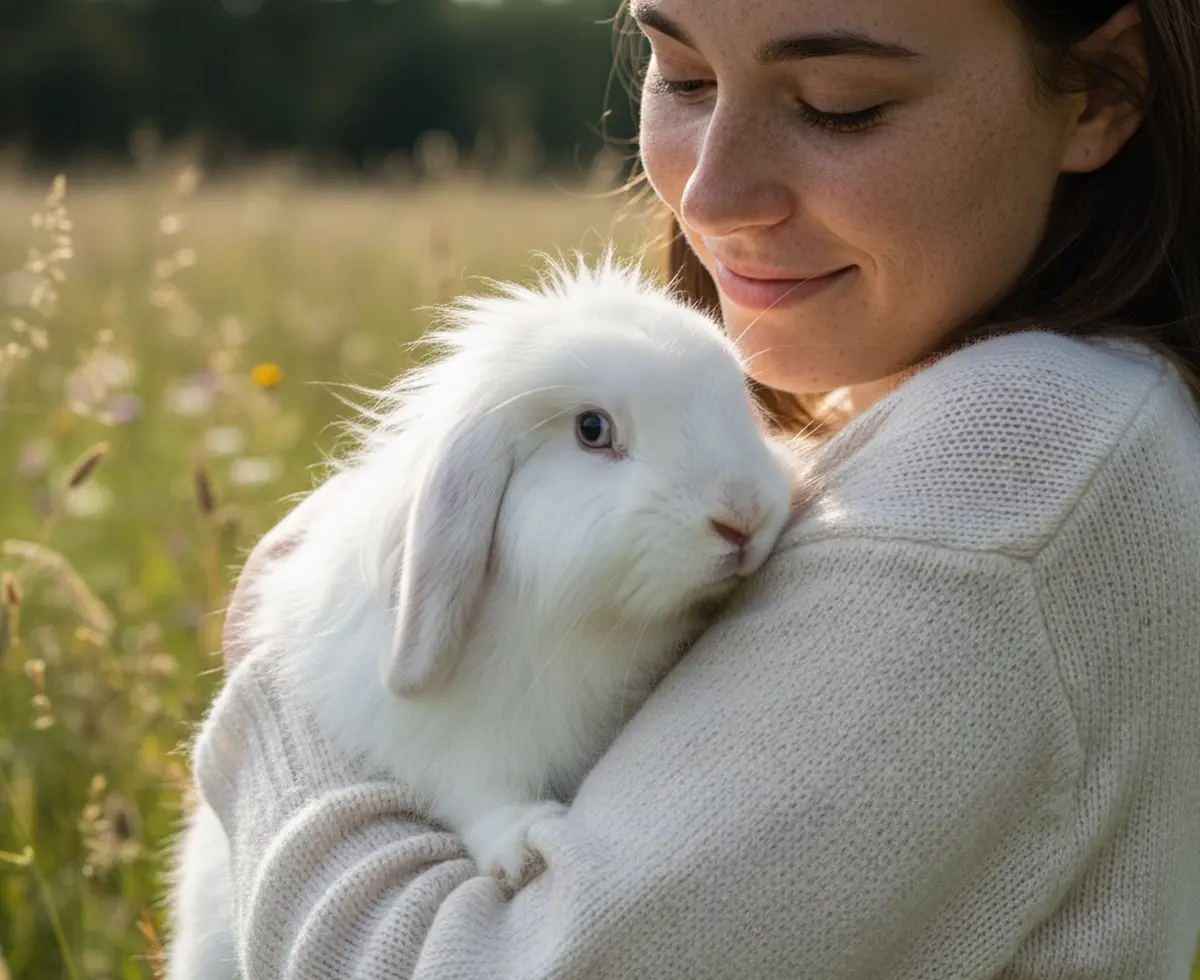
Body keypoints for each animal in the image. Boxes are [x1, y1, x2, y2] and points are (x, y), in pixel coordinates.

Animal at [165, 254, 797, 980]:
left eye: (740, 403)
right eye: (592, 430)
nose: (743, 517)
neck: (591, 629)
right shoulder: (438, 741)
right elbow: (471, 784)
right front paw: (520, 844)